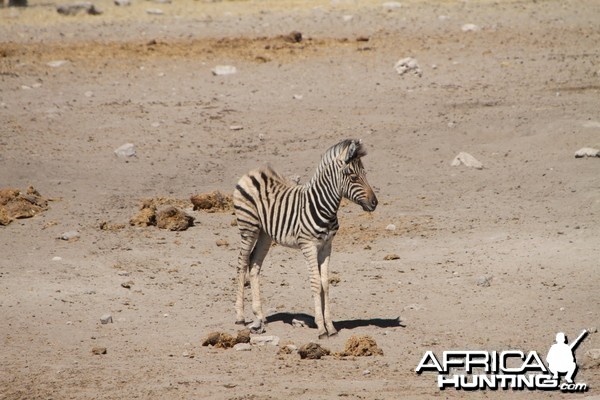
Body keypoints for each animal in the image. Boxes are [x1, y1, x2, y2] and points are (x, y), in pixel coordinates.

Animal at [232, 139, 378, 340]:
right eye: (354, 177)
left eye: (365, 174)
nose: (375, 203)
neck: (324, 206)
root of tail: (252, 172)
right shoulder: (308, 245)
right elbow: (316, 282)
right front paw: (321, 328)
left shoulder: (327, 246)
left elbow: (325, 283)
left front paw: (331, 327)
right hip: (248, 227)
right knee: (242, 262)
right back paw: (239, 316)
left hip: (265, 234)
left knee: (254, 264)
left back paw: (260, 316)